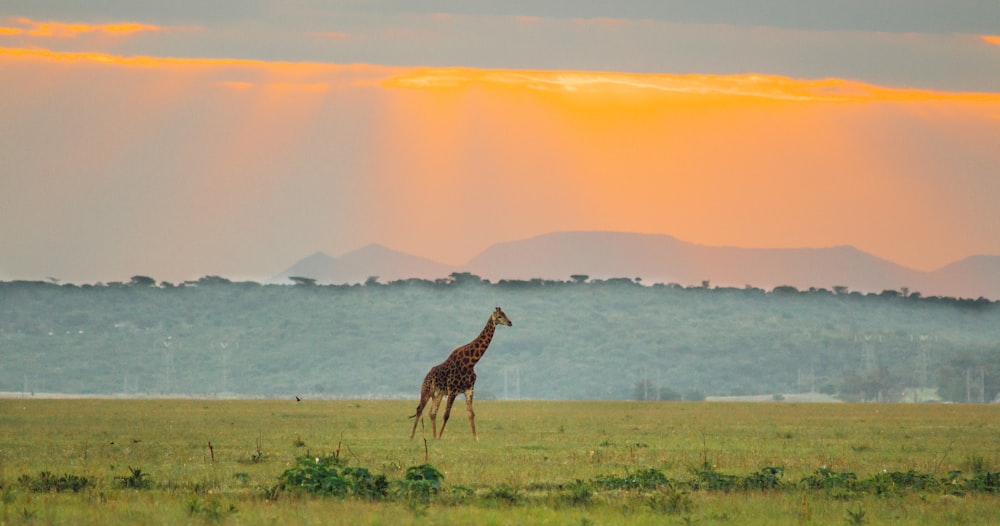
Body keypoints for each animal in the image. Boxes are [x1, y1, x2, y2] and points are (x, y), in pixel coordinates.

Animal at [408, 310, 512, 442]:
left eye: (505, 314)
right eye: (499, 316)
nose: (510, 322)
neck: (471, 362)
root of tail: (427, 375)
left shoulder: (469, 389)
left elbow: (471, 414)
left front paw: (475, 438)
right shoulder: (453, 390)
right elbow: (446, 414)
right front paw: (441, 436)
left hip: (438, 394)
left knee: (432, 413)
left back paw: (434, 436)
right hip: (426, 389)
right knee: (419, 409)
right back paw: (412, 436)